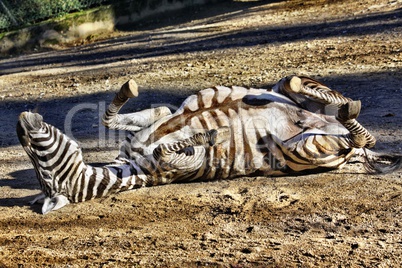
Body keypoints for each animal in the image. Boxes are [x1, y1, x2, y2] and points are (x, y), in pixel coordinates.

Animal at [17, 75, 400, 214]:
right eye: (42, 172)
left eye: (39, 162)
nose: (21, 122)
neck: (131, 166)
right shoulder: (179, 168)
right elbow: (170, 148)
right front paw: (207, 136)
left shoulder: (158, 119)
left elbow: (111, 119)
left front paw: (128, 90)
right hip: (308, 148)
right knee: (361, 135)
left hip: (304, 117)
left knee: (297, 85)